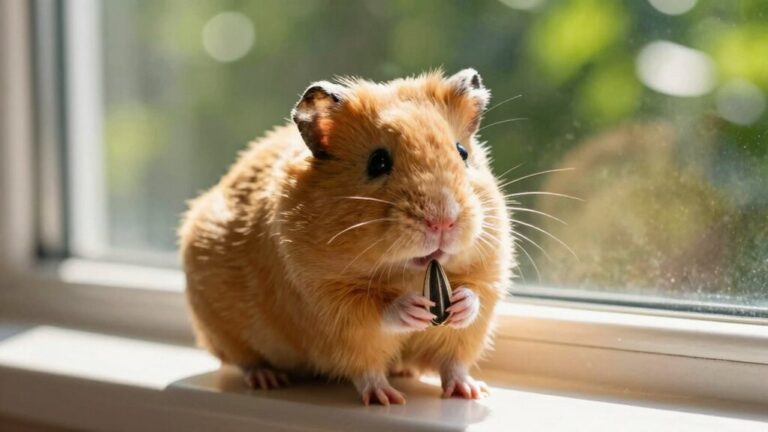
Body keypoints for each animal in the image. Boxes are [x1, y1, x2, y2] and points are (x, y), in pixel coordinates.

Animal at [179, 69, 514, 405]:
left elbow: (467, 322)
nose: (443, 221)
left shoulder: (487, 274)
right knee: (248, 360)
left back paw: (461, 389)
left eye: (462, 153)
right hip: (224, 331)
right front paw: (413, 309)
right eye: (378, 162)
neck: (407, 273)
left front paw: (460, 310)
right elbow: (376, 316)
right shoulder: (329, 301)